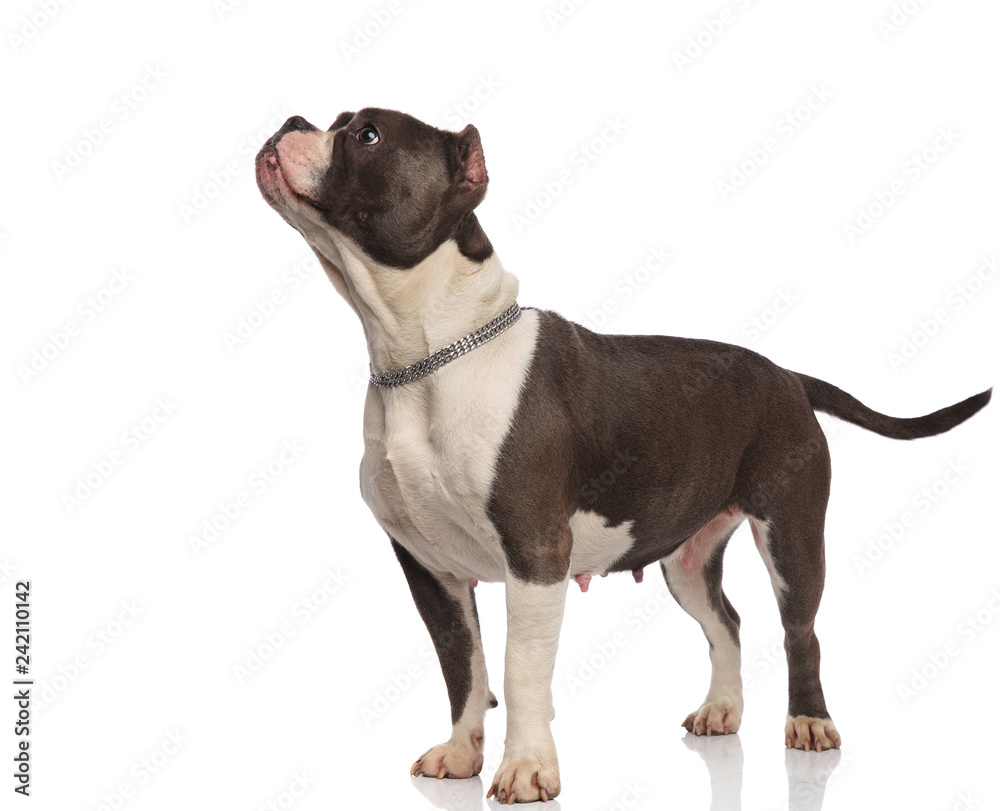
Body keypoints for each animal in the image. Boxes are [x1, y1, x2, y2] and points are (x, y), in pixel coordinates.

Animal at [254, 109, 988, 804]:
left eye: (366, 133)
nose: (291, 122)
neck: (423, 357)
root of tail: (788, 375)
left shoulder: (535, 557)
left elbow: (519, 670)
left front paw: (527, 770)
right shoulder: (430, 569)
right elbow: (463, 666)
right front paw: (462, 753)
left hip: (792, 532)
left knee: (799, 628)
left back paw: (809, 722)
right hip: (687, 558)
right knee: (726, 622)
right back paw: (722, 710)